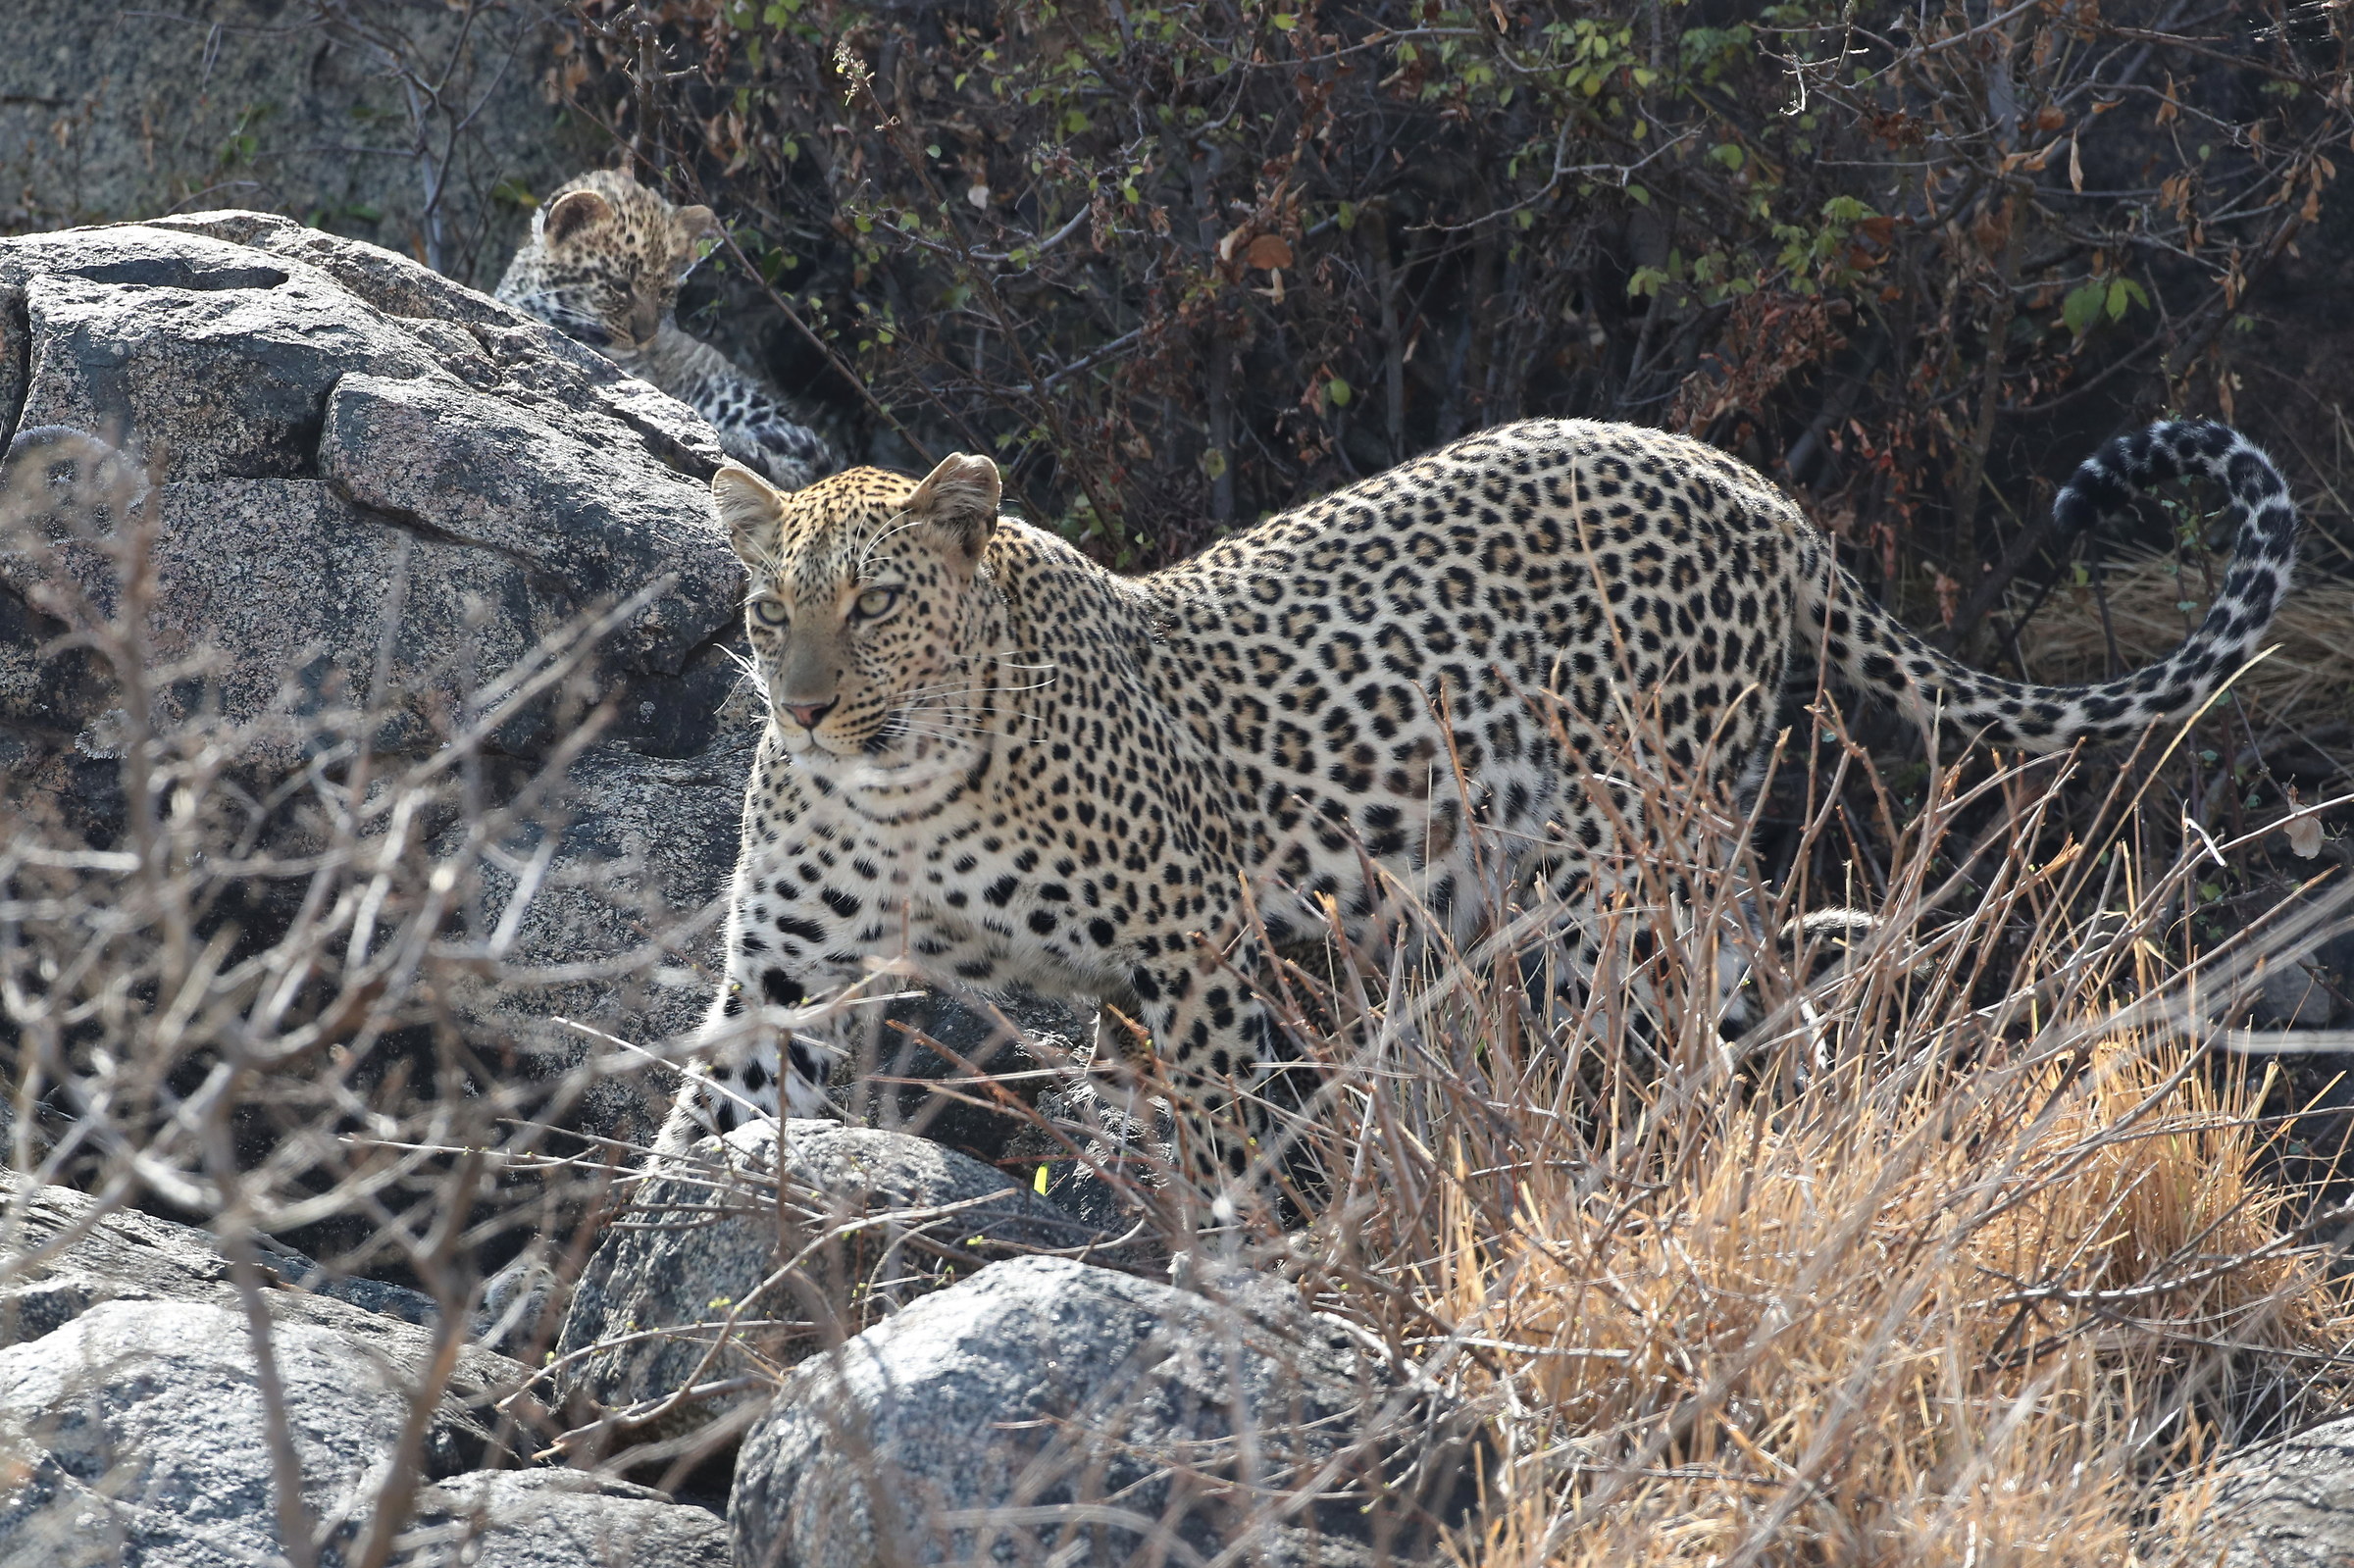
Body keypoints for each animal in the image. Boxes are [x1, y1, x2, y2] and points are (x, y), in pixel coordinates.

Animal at [656, 417, 2297, 1203]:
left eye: (875, 605)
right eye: (767, 609)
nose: (802, 708)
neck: (909, 793)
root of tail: (1751, 486)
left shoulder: (1194, 949)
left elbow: (1235, 1140)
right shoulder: (783, 973)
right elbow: (710, 1122)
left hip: (1618, 872)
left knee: (1660, 1050)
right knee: (1772, 1016)